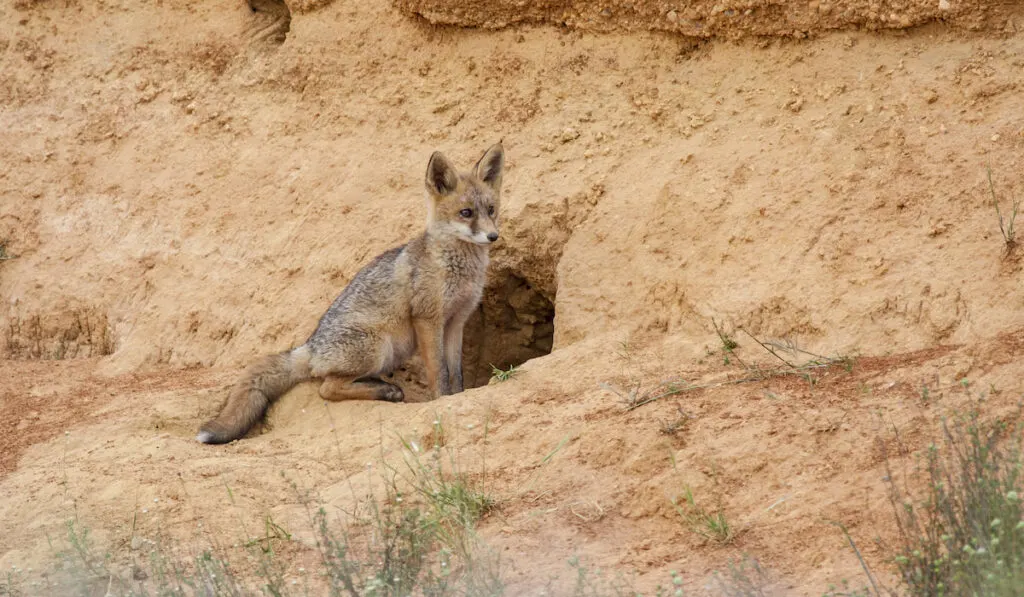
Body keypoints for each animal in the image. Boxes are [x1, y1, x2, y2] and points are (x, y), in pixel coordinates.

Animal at [195, 143, 503, 444]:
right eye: (466, 213)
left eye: (491, 209)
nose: (493, 236)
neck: (456, 269)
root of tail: (310, 346)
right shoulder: (428, 319)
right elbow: (439, 371)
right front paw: (440, 401)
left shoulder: (456, 321)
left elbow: (456, 372)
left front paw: (458, 397)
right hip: (378, 348)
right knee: (327, 388)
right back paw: (384, 391)